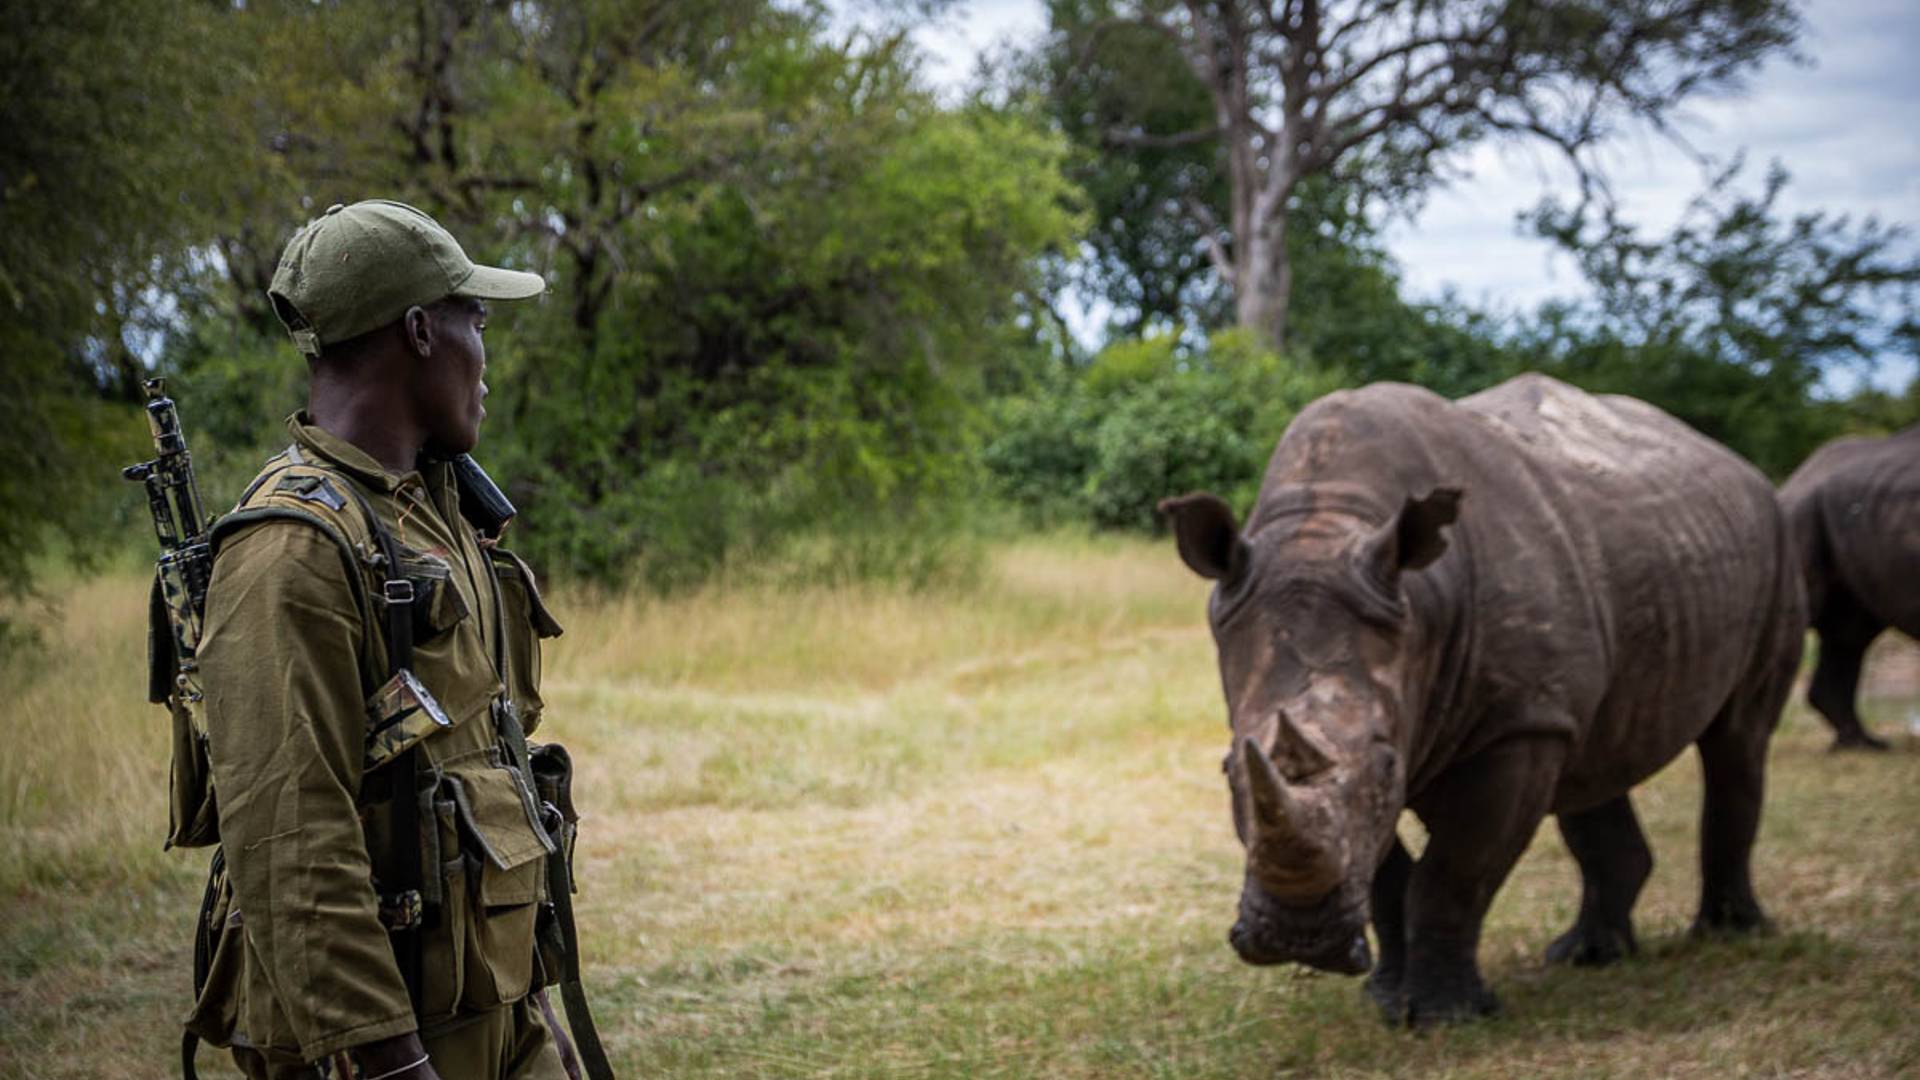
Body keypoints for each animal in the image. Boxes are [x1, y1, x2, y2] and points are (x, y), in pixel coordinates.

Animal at [1160, 374, 1805, 1025]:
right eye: (1229, 771)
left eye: (1386, 766)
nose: (1299, 941)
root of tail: (1736, 462)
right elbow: (1386, 876)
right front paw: (1387, 1001)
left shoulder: (1516, 725)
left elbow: (1453, 874)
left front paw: (1444, 1018)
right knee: (1597, 753)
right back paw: (1588, 955)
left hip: (1776, 544)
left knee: (1737, 740)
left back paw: (1728, 936)